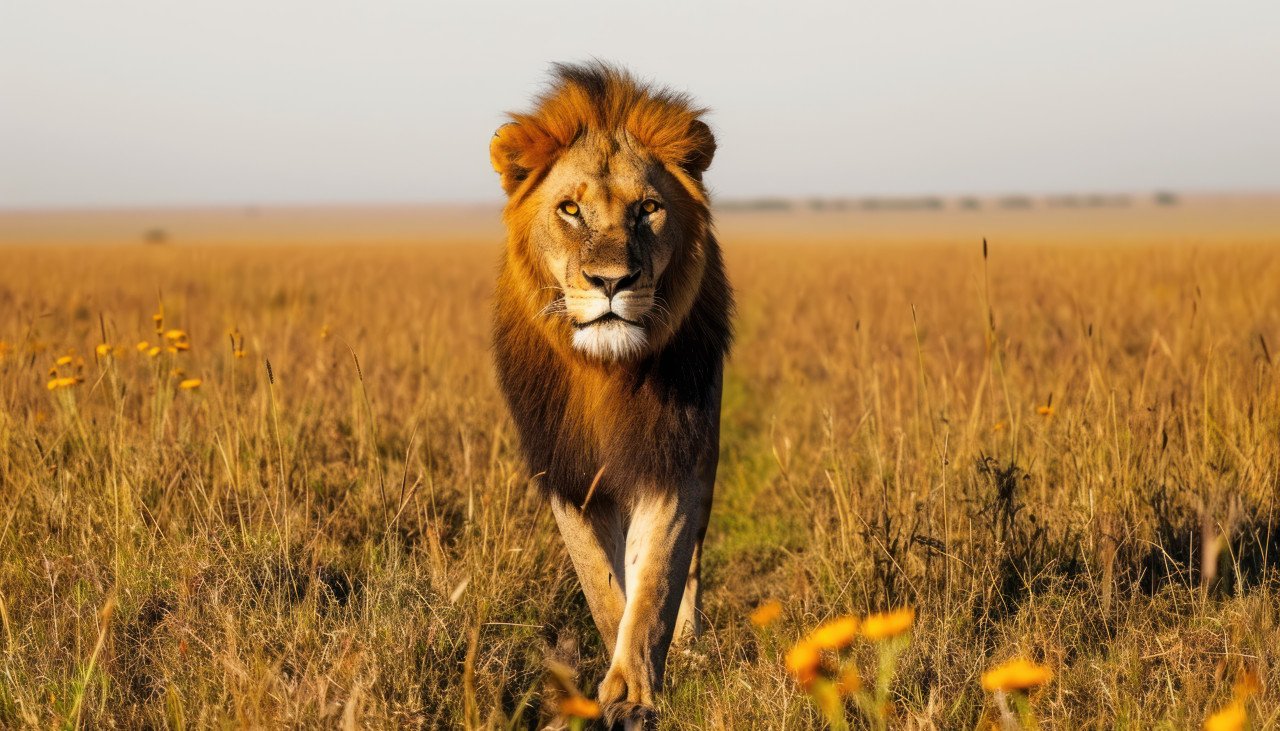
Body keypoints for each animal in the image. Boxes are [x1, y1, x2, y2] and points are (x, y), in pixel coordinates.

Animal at [489, 62, 732, 726]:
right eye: (570, 208)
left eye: (647, 208)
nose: (611, 282)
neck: (606, 374)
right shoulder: (568, 472)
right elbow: (603, 585)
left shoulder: (673, 459)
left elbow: (655, 583)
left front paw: (632, 695)